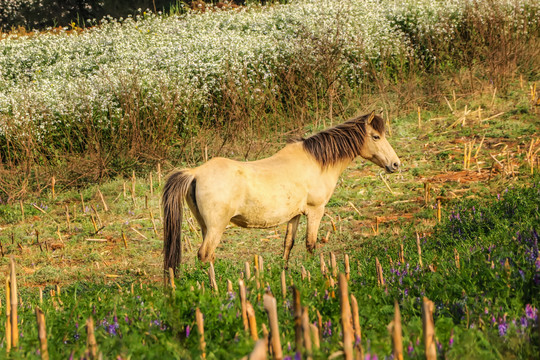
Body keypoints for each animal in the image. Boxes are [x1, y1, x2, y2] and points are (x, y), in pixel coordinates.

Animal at [163, 112, 400, 272]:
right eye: (376, 136)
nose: (396, 164)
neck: (316, 162)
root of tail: (195, 173)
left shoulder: (294, 216)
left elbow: (288, 244)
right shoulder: (316, 211)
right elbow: (310, 244)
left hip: (206, 227)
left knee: (208, 256)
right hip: (216, 227)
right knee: (204, 255)